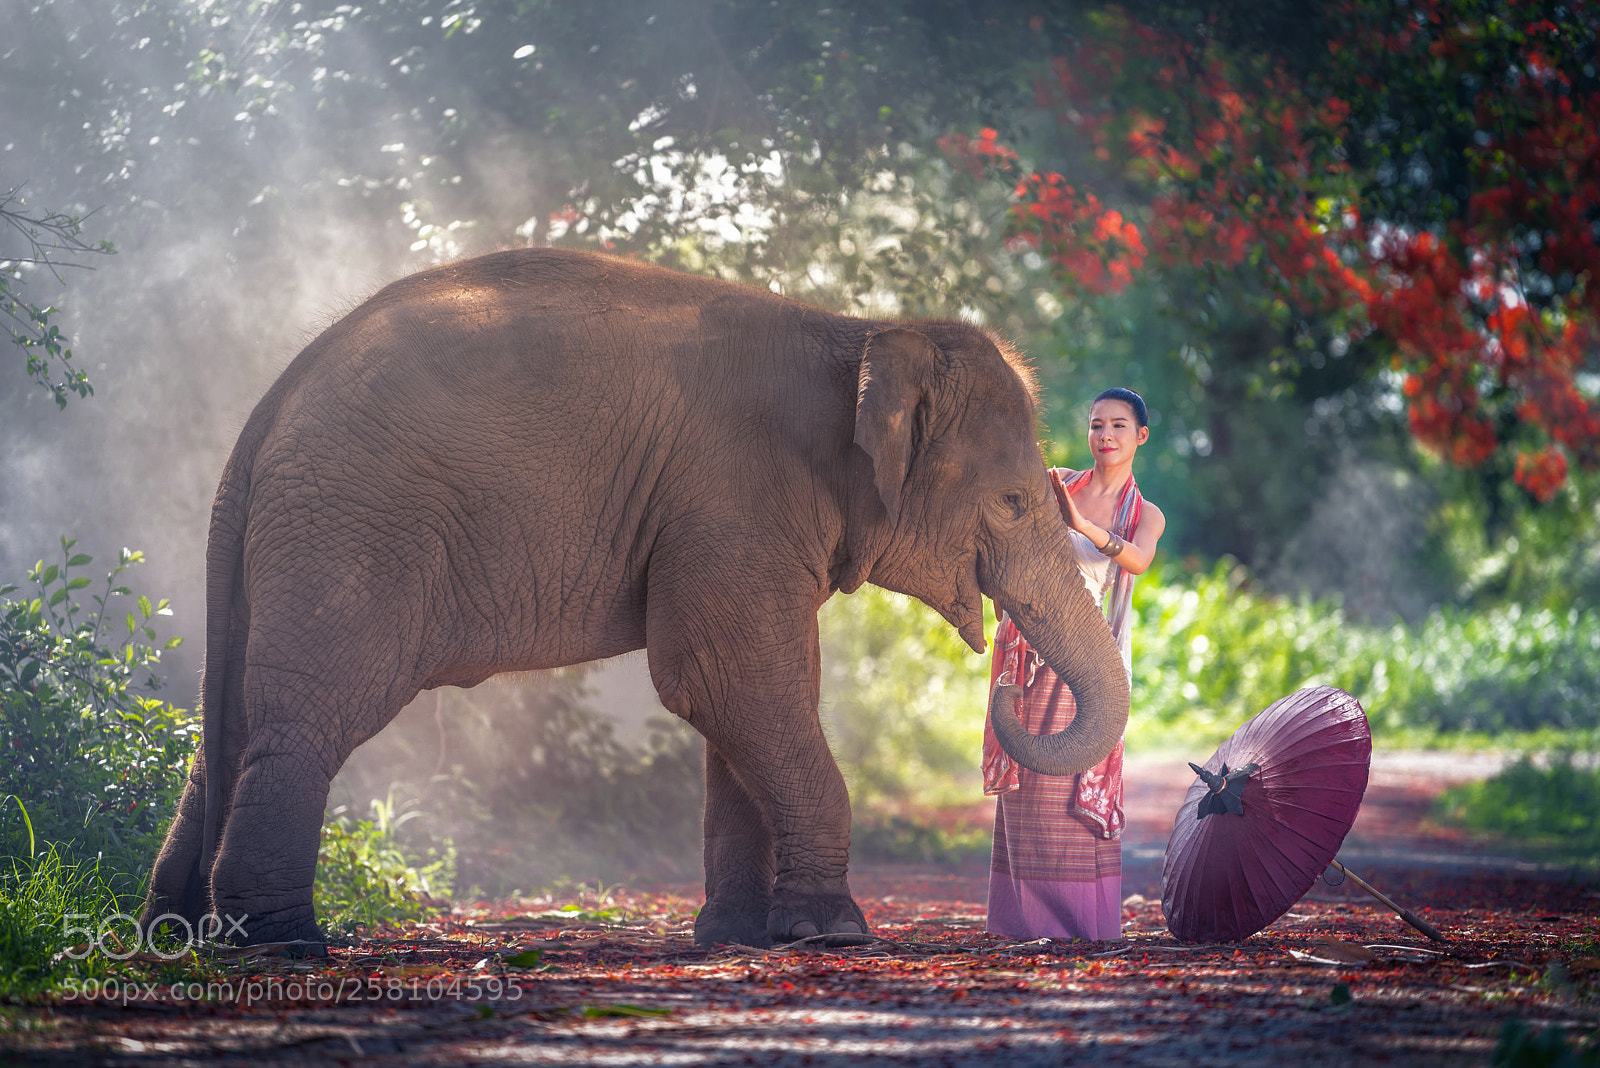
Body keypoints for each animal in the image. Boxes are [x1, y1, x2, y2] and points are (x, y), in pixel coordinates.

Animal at [138, 247, 1129, 951]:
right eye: (1012, 503)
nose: (1007, 684)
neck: (859, 336)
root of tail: (269, 404)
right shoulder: (734, 499)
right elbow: (722, 680)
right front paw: (832, 933)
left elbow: (751, 698)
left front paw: (740, 938)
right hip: (350, 528)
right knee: (307, 717)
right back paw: (282, 945)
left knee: (225, 727)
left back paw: (176, 935)